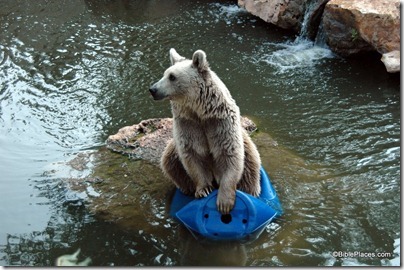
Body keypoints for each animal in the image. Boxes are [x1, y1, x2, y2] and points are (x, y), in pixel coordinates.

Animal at [150, 48, 260, 213]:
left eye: (172, 76)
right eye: (165, 73)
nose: (153, 89)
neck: (200, 110)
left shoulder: (220, 122)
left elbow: (229, 153)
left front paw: (224, 202)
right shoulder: (188, 124)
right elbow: (192, 154)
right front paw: (204, 189)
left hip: (248, 150)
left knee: (250, 168)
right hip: (173, 153)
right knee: (170, 161)